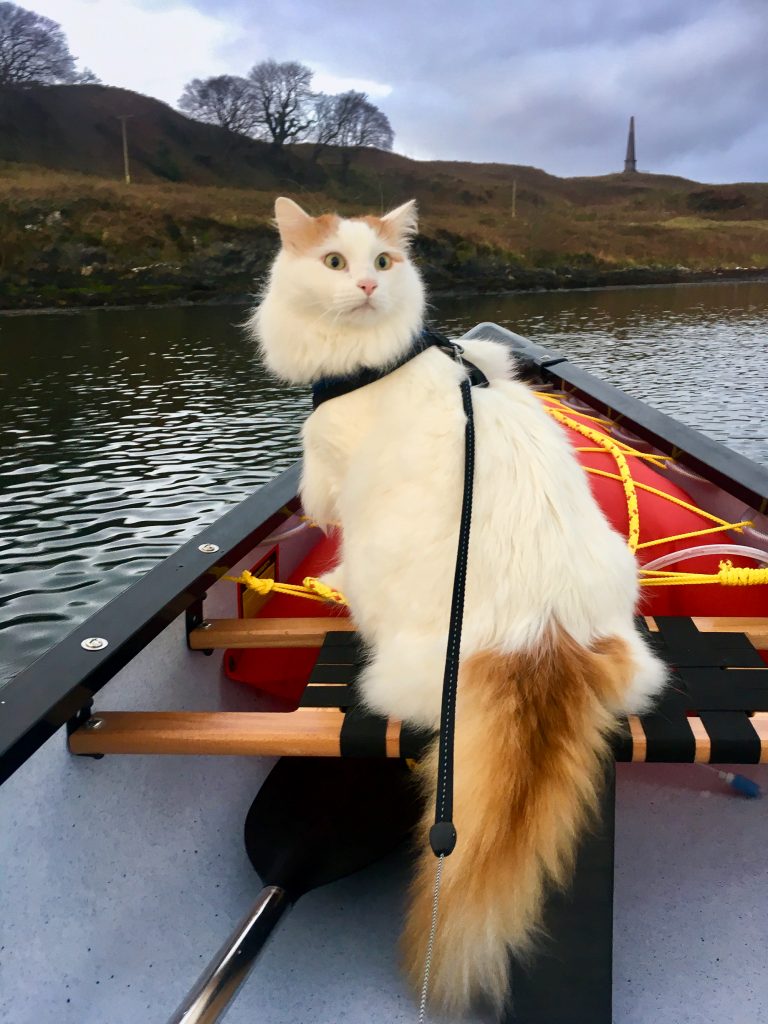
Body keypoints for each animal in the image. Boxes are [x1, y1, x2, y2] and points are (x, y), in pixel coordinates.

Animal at [250, 197, 667, 1015]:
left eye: (382, 262)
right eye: (335, 262)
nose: (369, 288)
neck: (379, 356)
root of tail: (540, 638)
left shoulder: (328, 470)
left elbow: (321, 506)